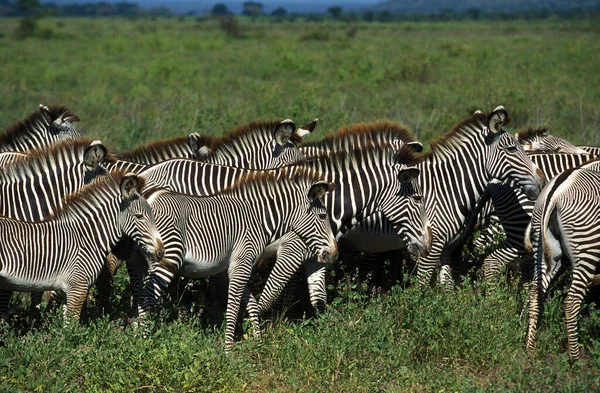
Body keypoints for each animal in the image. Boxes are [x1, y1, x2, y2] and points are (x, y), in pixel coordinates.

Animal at [0, 172, 163, 322]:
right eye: (139, 216)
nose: (161, 252)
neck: (87, 238)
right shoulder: (78, 287)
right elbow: (72, 329)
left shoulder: (69, 290)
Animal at [137, 168, 340, 350]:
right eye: (323, 216)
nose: (334, 253)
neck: (259, 219)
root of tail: (149, 197)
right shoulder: (242, 263)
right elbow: (233, 308)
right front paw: (229, 349)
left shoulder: (239, 265)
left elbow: (251, 303)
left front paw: (258, 342)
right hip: (169, 257)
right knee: (147, 297)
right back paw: (144, 342)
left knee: (141, 295)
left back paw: (137, 337)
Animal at [524, 167, 600, 360]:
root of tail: (555, 192)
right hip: (587, 246)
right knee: (571, 301)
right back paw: (576, 358)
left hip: (545, 249)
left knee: (535, 293)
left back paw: (529, 347)